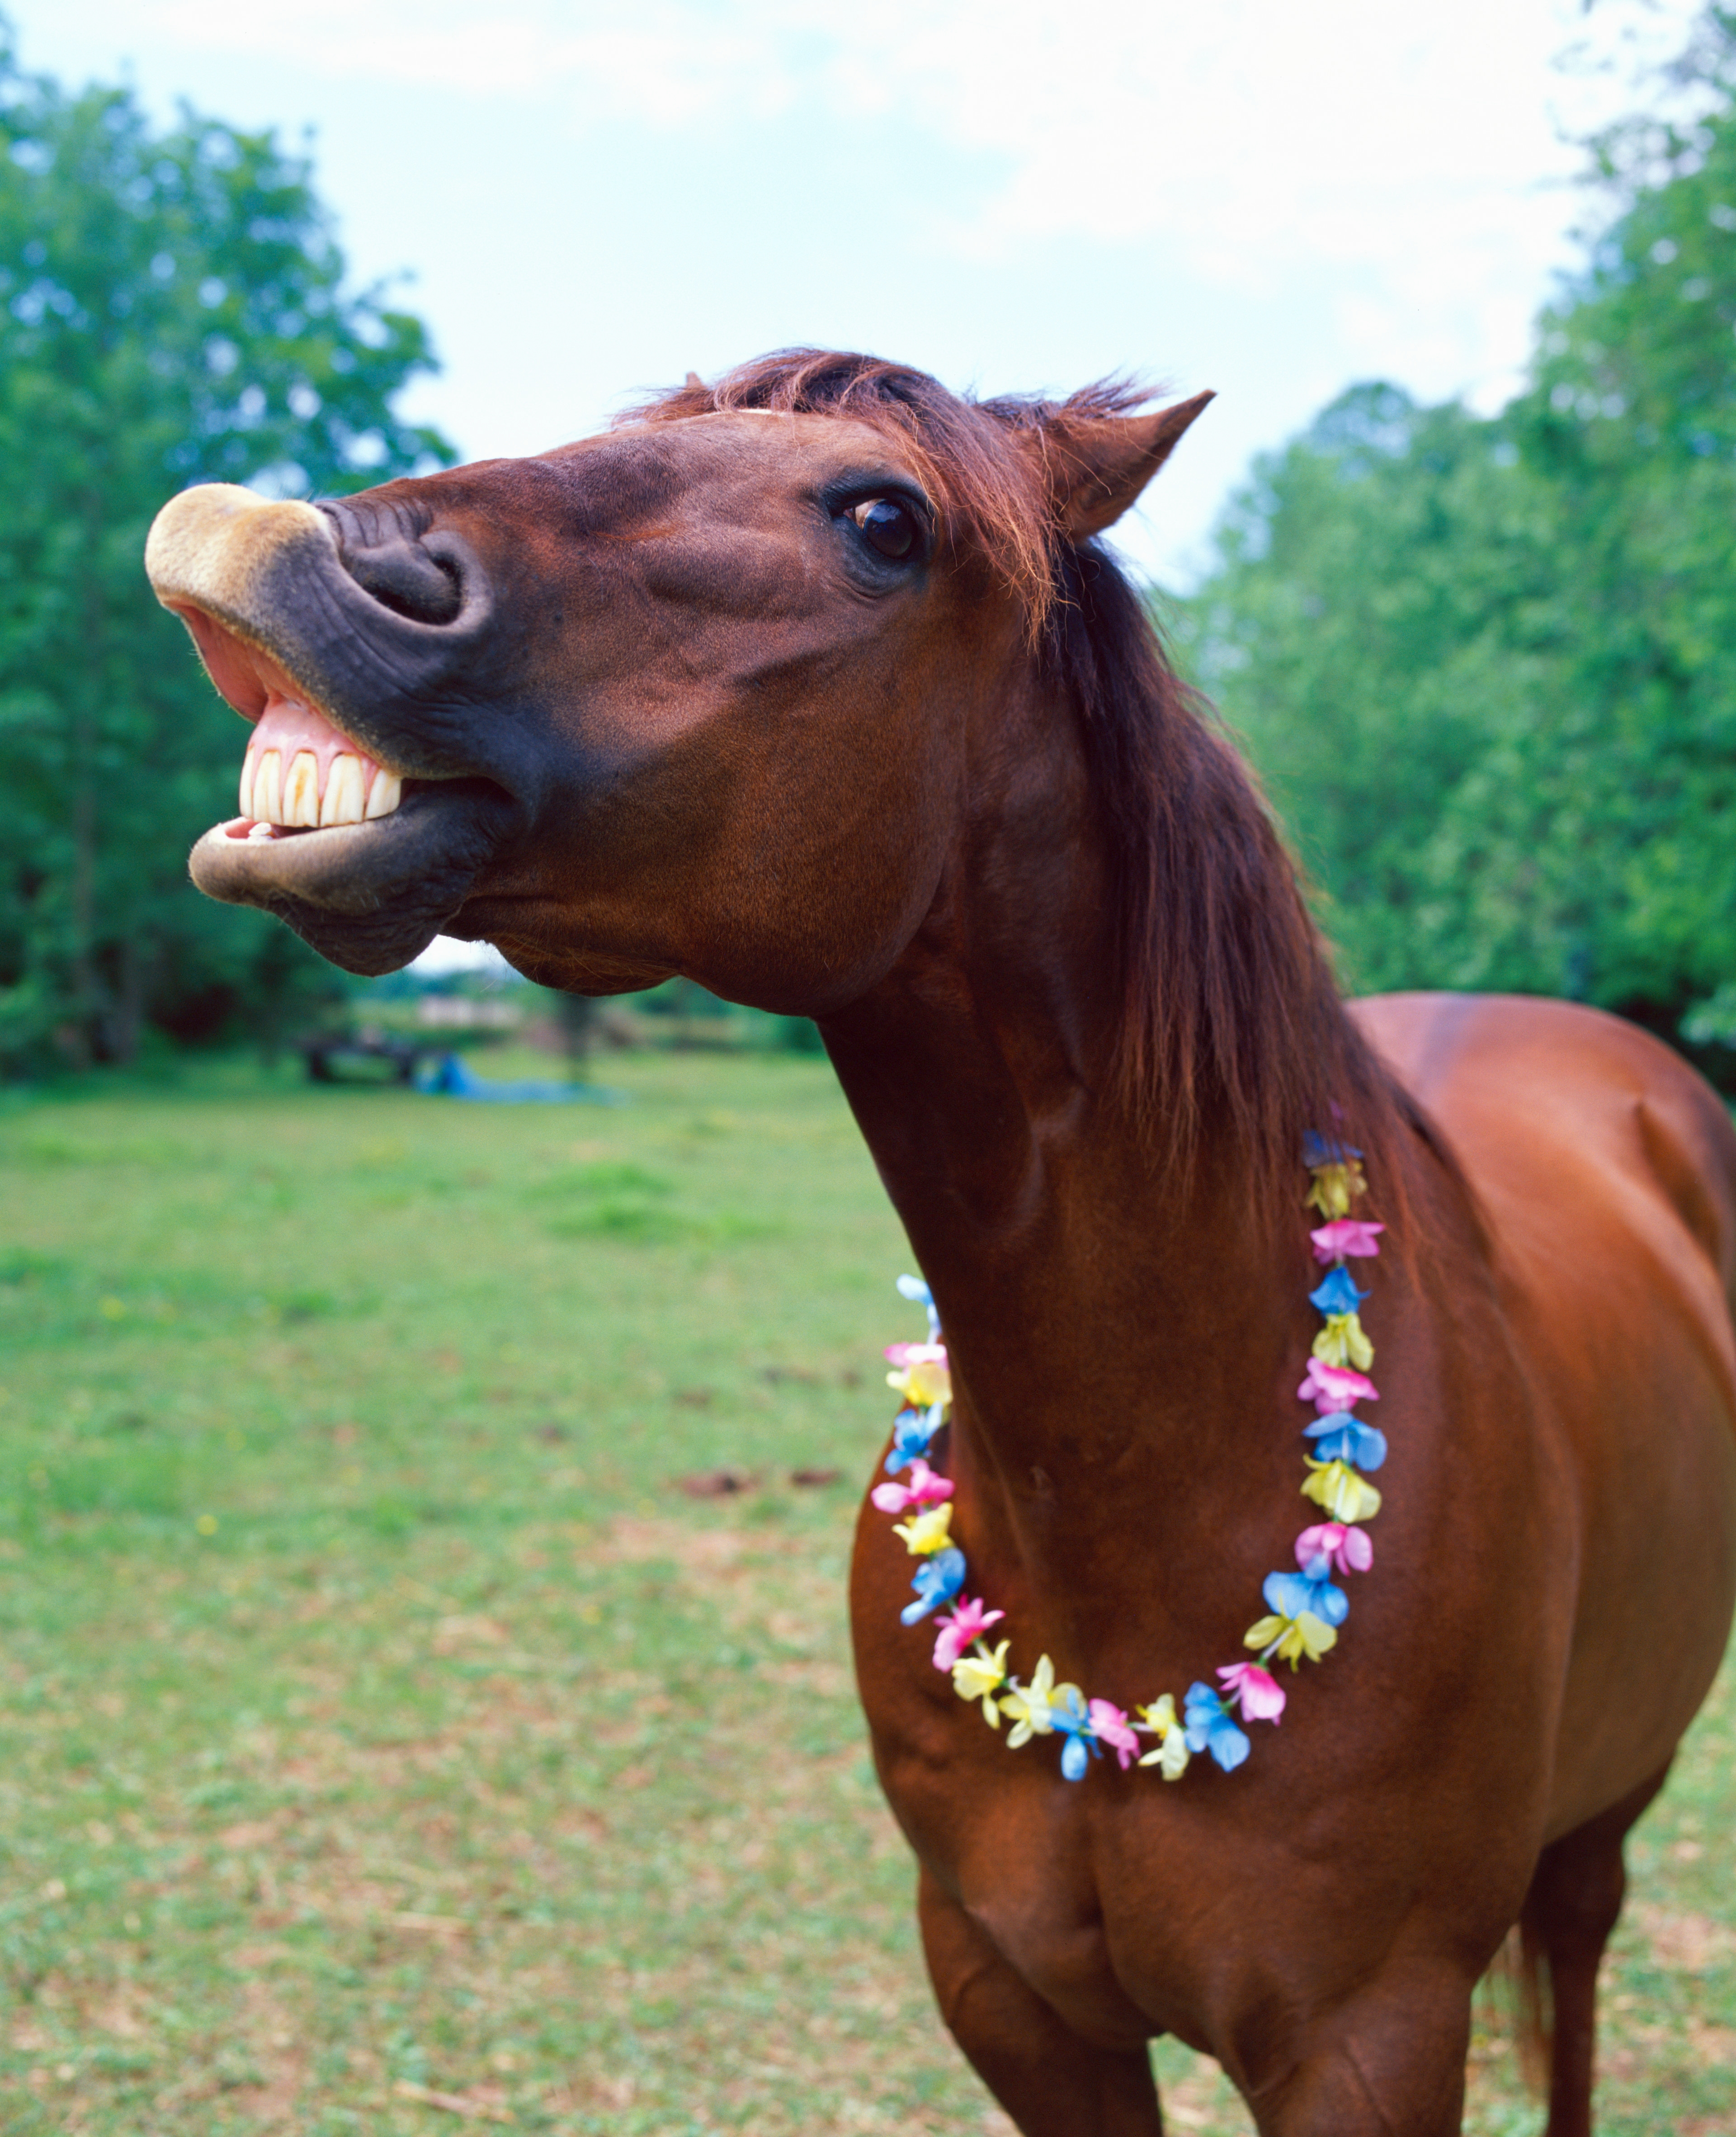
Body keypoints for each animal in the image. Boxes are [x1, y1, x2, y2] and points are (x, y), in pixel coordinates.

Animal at [143, 349, 1736, 2136]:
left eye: (883, 521)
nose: (271, 542)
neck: (1152, 1494)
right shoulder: (1008, 1992)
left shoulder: (1367, 2039)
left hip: (1610, 1809)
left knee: (1579, 1959)